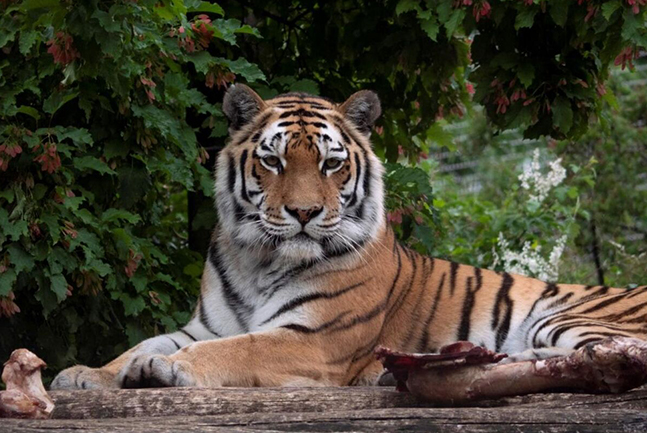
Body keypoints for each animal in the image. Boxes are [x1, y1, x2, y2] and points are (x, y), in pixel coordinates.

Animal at [52, 84, 647, 388]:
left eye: (331, 163)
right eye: (272, 160)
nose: (304, 212)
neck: (260, 261)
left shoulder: (314, 338)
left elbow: (239, 350)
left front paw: (168, 369)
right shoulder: (203, 325)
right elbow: (143, 342)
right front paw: (86, 374)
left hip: (565, 317)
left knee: (614, 358)